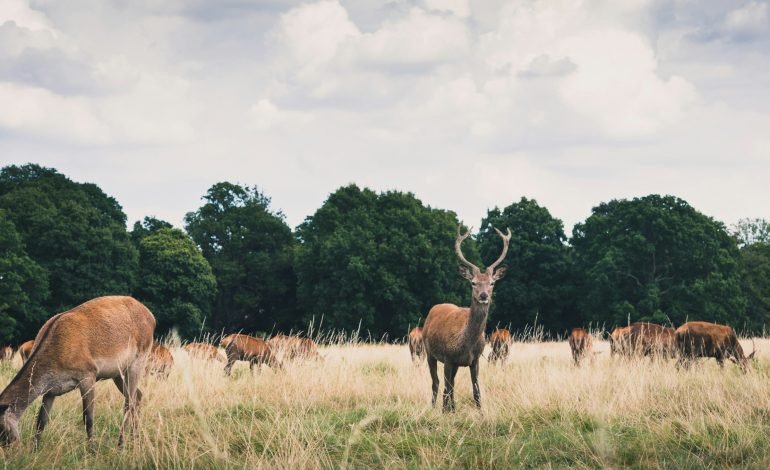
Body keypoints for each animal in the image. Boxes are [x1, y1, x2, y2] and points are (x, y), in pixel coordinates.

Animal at [0, 296, 154, 446]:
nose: (12, 447)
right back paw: (135, 438)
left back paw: (121, 444)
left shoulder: (88, 374)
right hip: (117, 373)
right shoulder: (51, 390)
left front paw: (92, 449)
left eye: (1, 431)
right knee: (137, 396)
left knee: (128, 403)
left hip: (138, 361)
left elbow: (88, 418)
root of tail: (151, 317)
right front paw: (35, 449)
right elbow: (41, 421)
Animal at [420, 224, 510, 412]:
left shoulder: (474, 360)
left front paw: (480, 413)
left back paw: (452, 408)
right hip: (429, 352)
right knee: (436, 383)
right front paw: (443, 413)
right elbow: (445, 388)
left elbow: (476, 391)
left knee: (451, 384)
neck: (465, 344)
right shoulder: (448, 357)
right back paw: (433, 407)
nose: (483, 296)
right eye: (473, 283)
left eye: (492, 283)